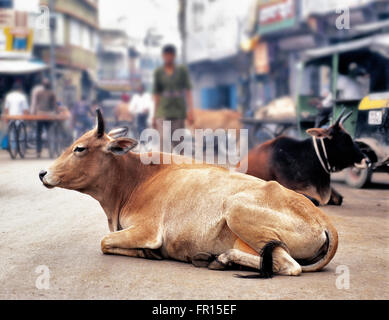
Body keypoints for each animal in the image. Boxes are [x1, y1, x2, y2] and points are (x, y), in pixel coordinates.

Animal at [38, 109, 338, 278]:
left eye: (80, 148)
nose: (43, 173)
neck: (134, 179)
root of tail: (324, 220)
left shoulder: (147, 230)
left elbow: (104, 241)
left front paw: (147, 253)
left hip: (236, 210)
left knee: (288, 266)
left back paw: (220, 259)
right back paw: (212, 259)